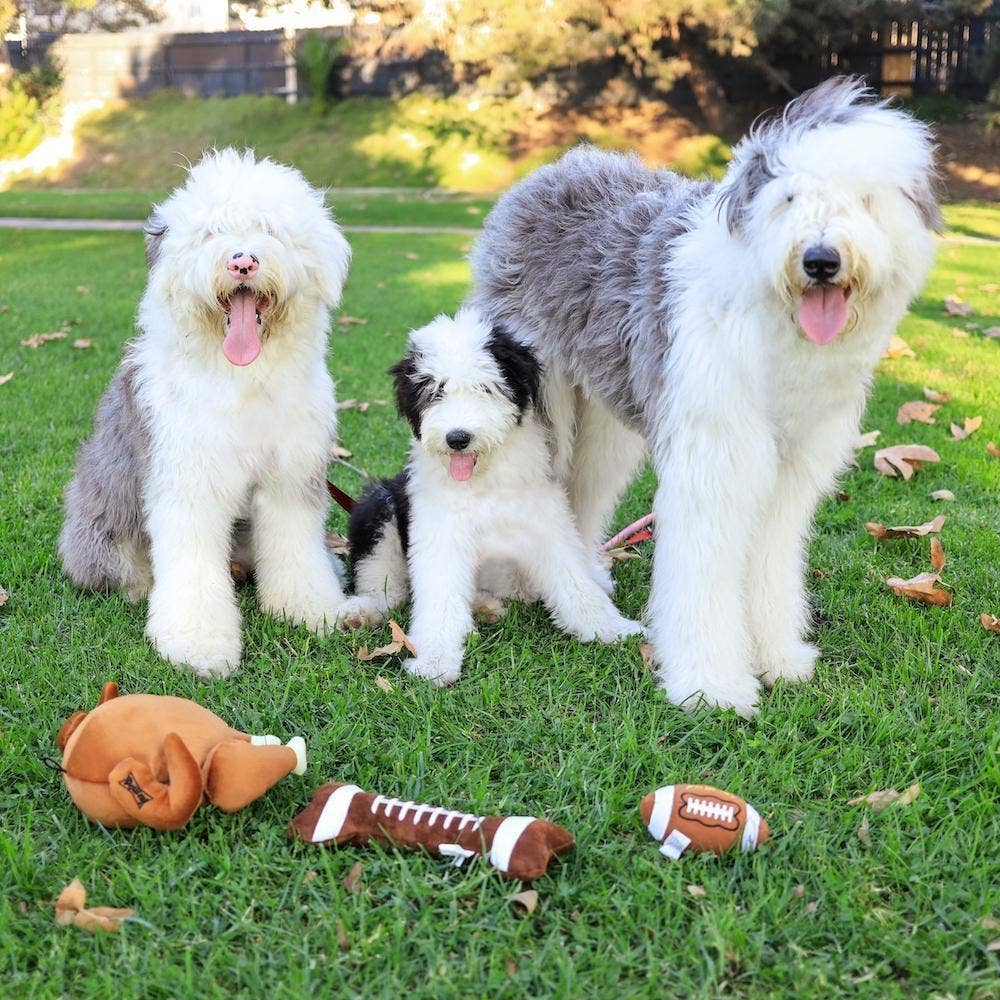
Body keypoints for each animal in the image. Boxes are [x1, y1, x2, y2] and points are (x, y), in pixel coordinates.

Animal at [344, 310, 640, 688]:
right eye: (436, 391)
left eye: (485, 388)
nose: (457, 438)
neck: (485, 483)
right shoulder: (440, 537)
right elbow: (439, 599)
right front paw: (434, 662)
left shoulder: (548, 528)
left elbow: (577, 586)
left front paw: (614, 630)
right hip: (378, 507)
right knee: (386, 588)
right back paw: (359, 612)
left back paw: (484, 607)